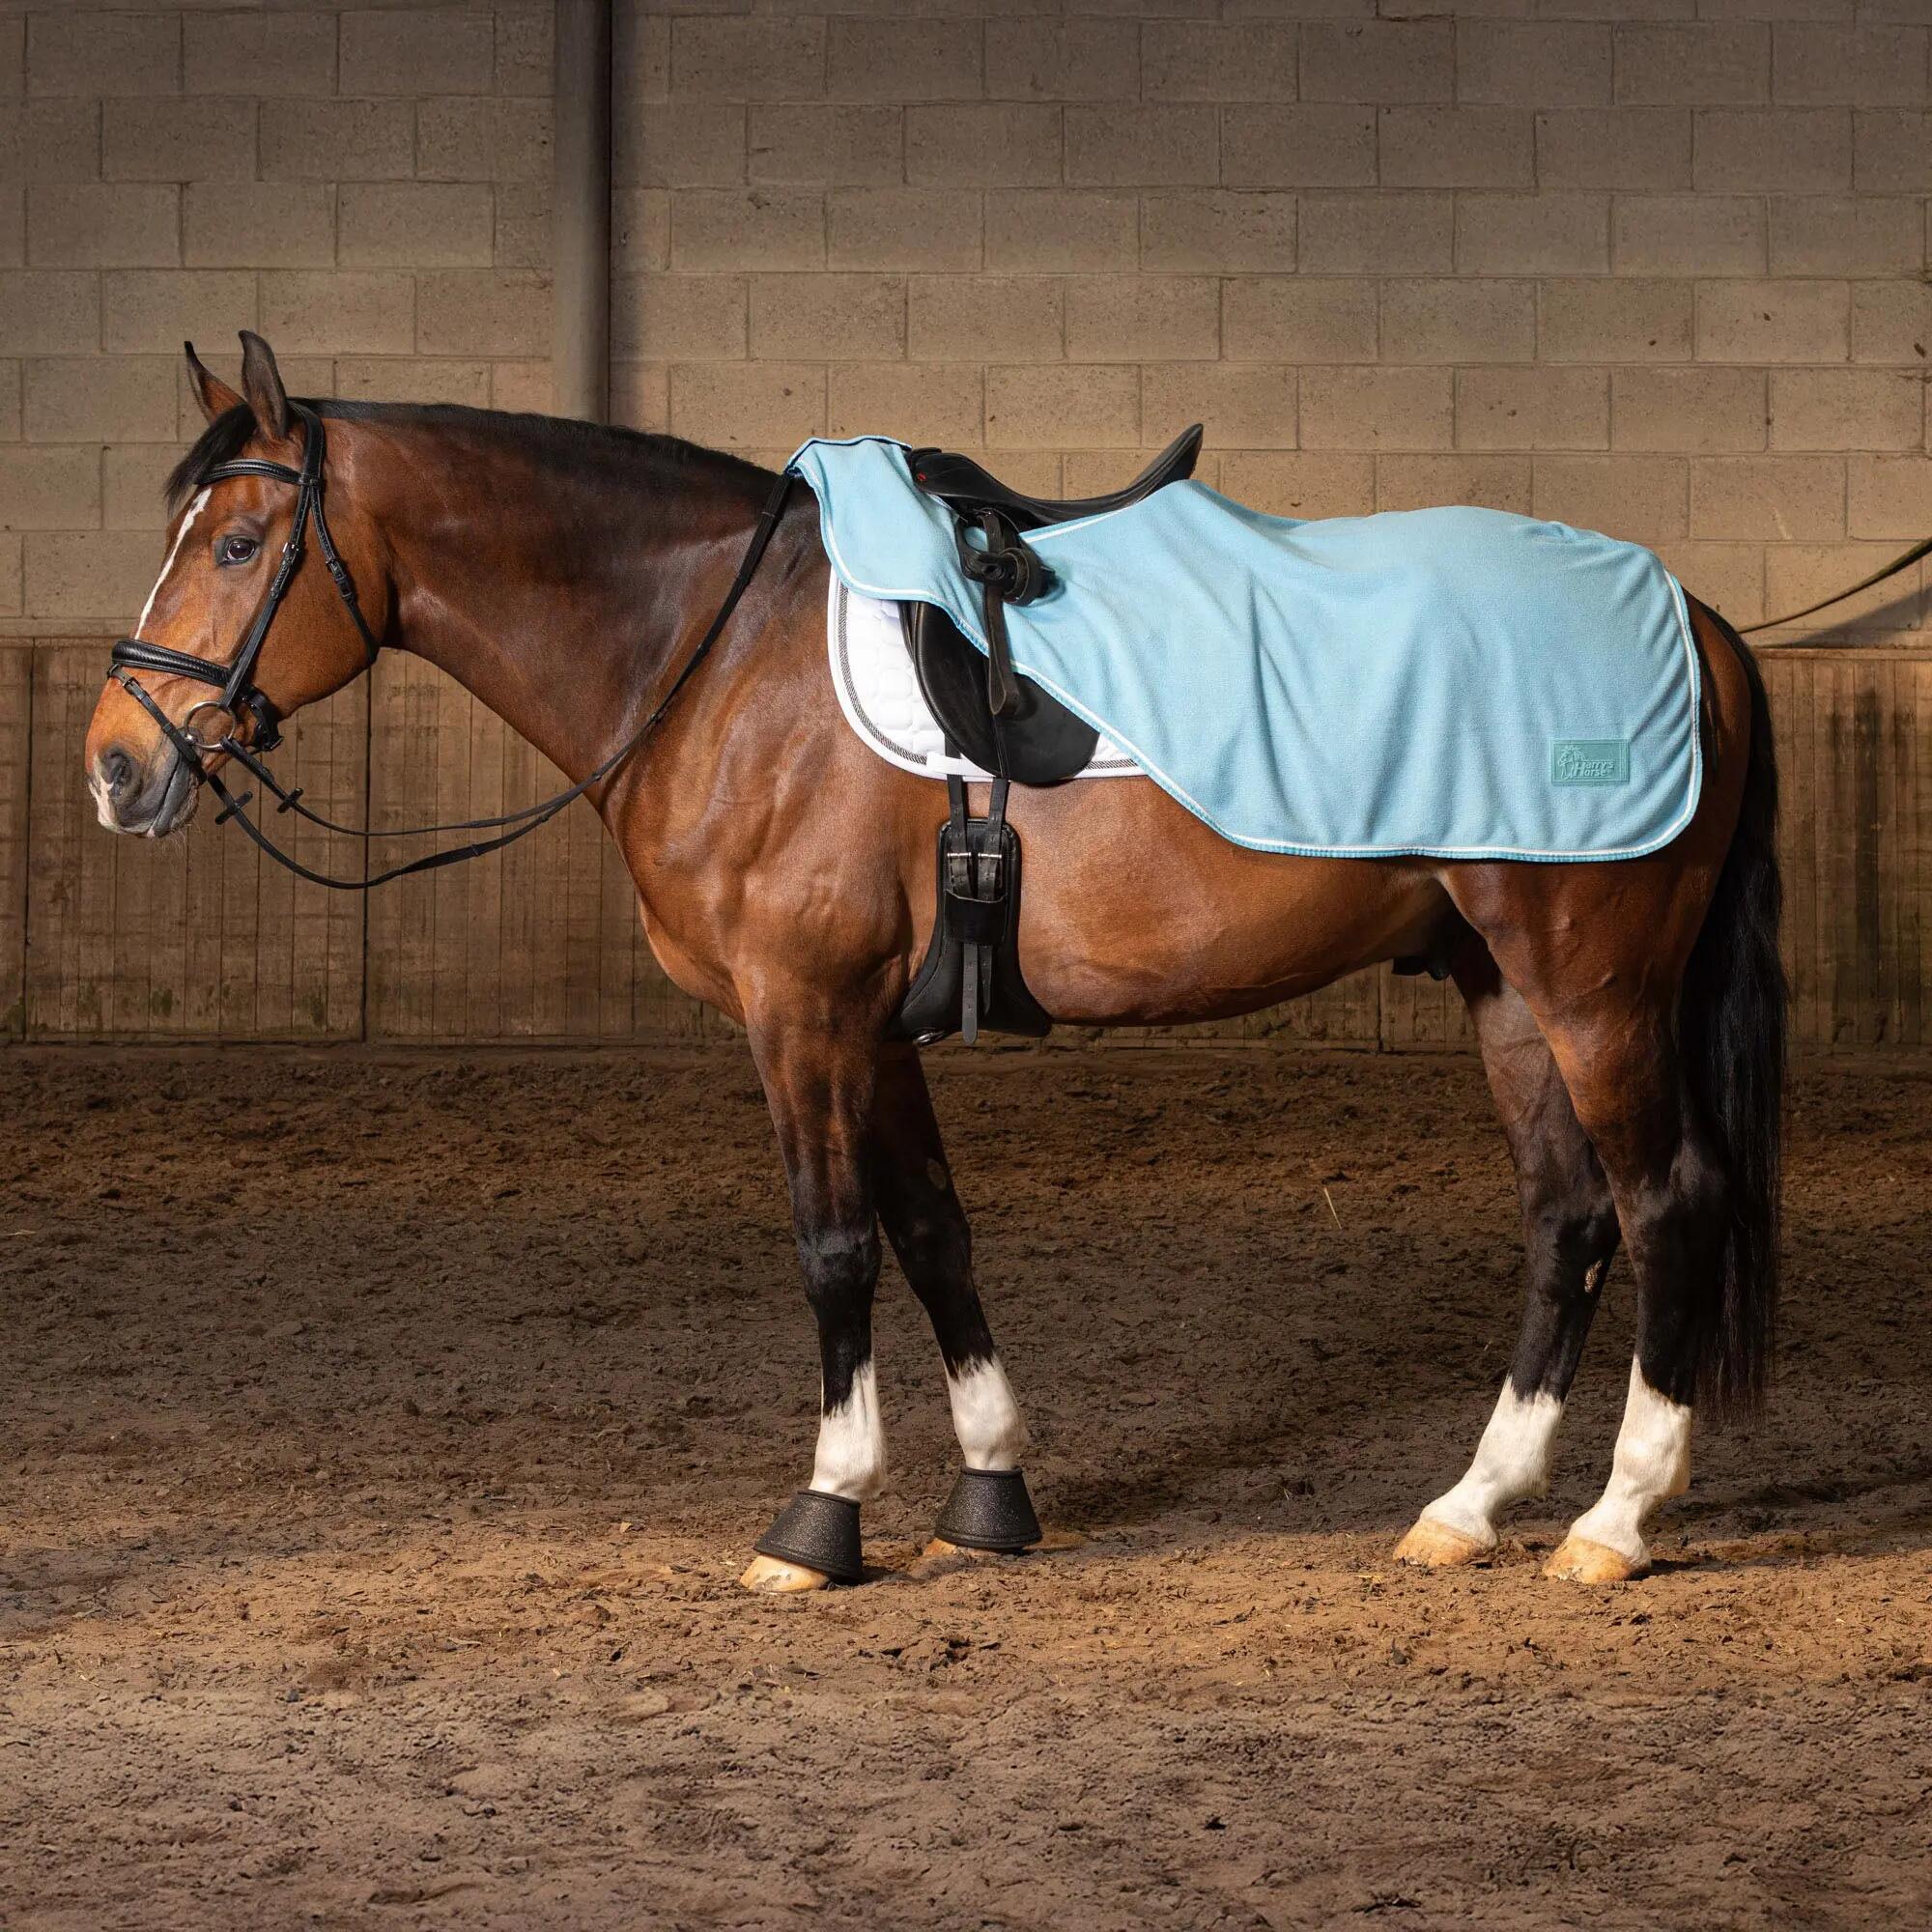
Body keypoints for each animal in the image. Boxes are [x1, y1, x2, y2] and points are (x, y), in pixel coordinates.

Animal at [86, 334, 1784, 1593]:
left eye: (239, 542)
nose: (116, 765)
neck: (718, 654)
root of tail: (1693, 614)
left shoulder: (799, 1013)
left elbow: (835, 1246)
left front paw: (822, 1518)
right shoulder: (873, 1025)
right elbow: (933, 1231)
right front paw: (990, 1494)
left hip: (1592, 989)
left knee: (1663, 1200)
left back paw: (1615, 1520)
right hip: (1505, 989)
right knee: (1567, 1219)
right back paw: (1471, 1505)